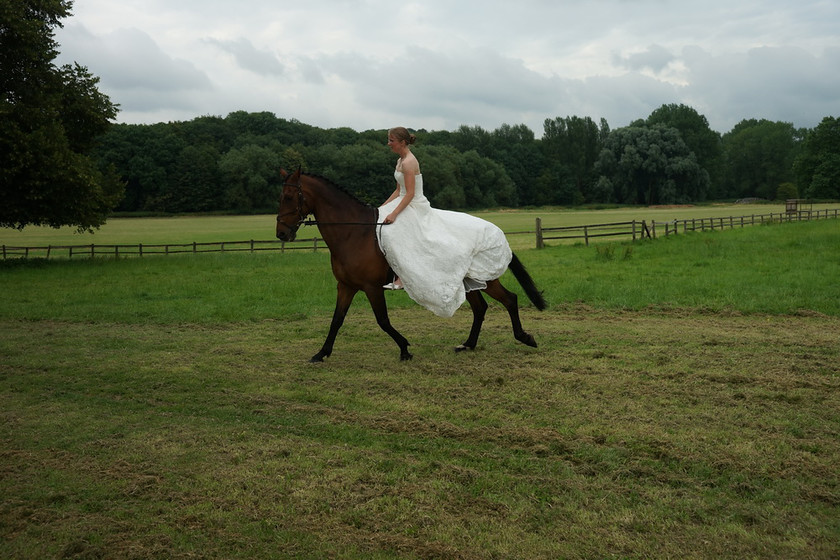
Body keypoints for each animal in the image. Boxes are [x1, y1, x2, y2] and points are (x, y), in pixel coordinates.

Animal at [276, 167, 544, 364]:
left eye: (288, 197)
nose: (281, 234)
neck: (353, 232)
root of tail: (496, 231)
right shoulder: (346, 286)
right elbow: (336, 320)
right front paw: (321, 353)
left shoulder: (371, 287)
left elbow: (382, 320)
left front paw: (404, 349)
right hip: (467, 281)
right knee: (481, 308)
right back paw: (468, 345)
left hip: (486, 279)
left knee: (510, 299)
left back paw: (525, 338)